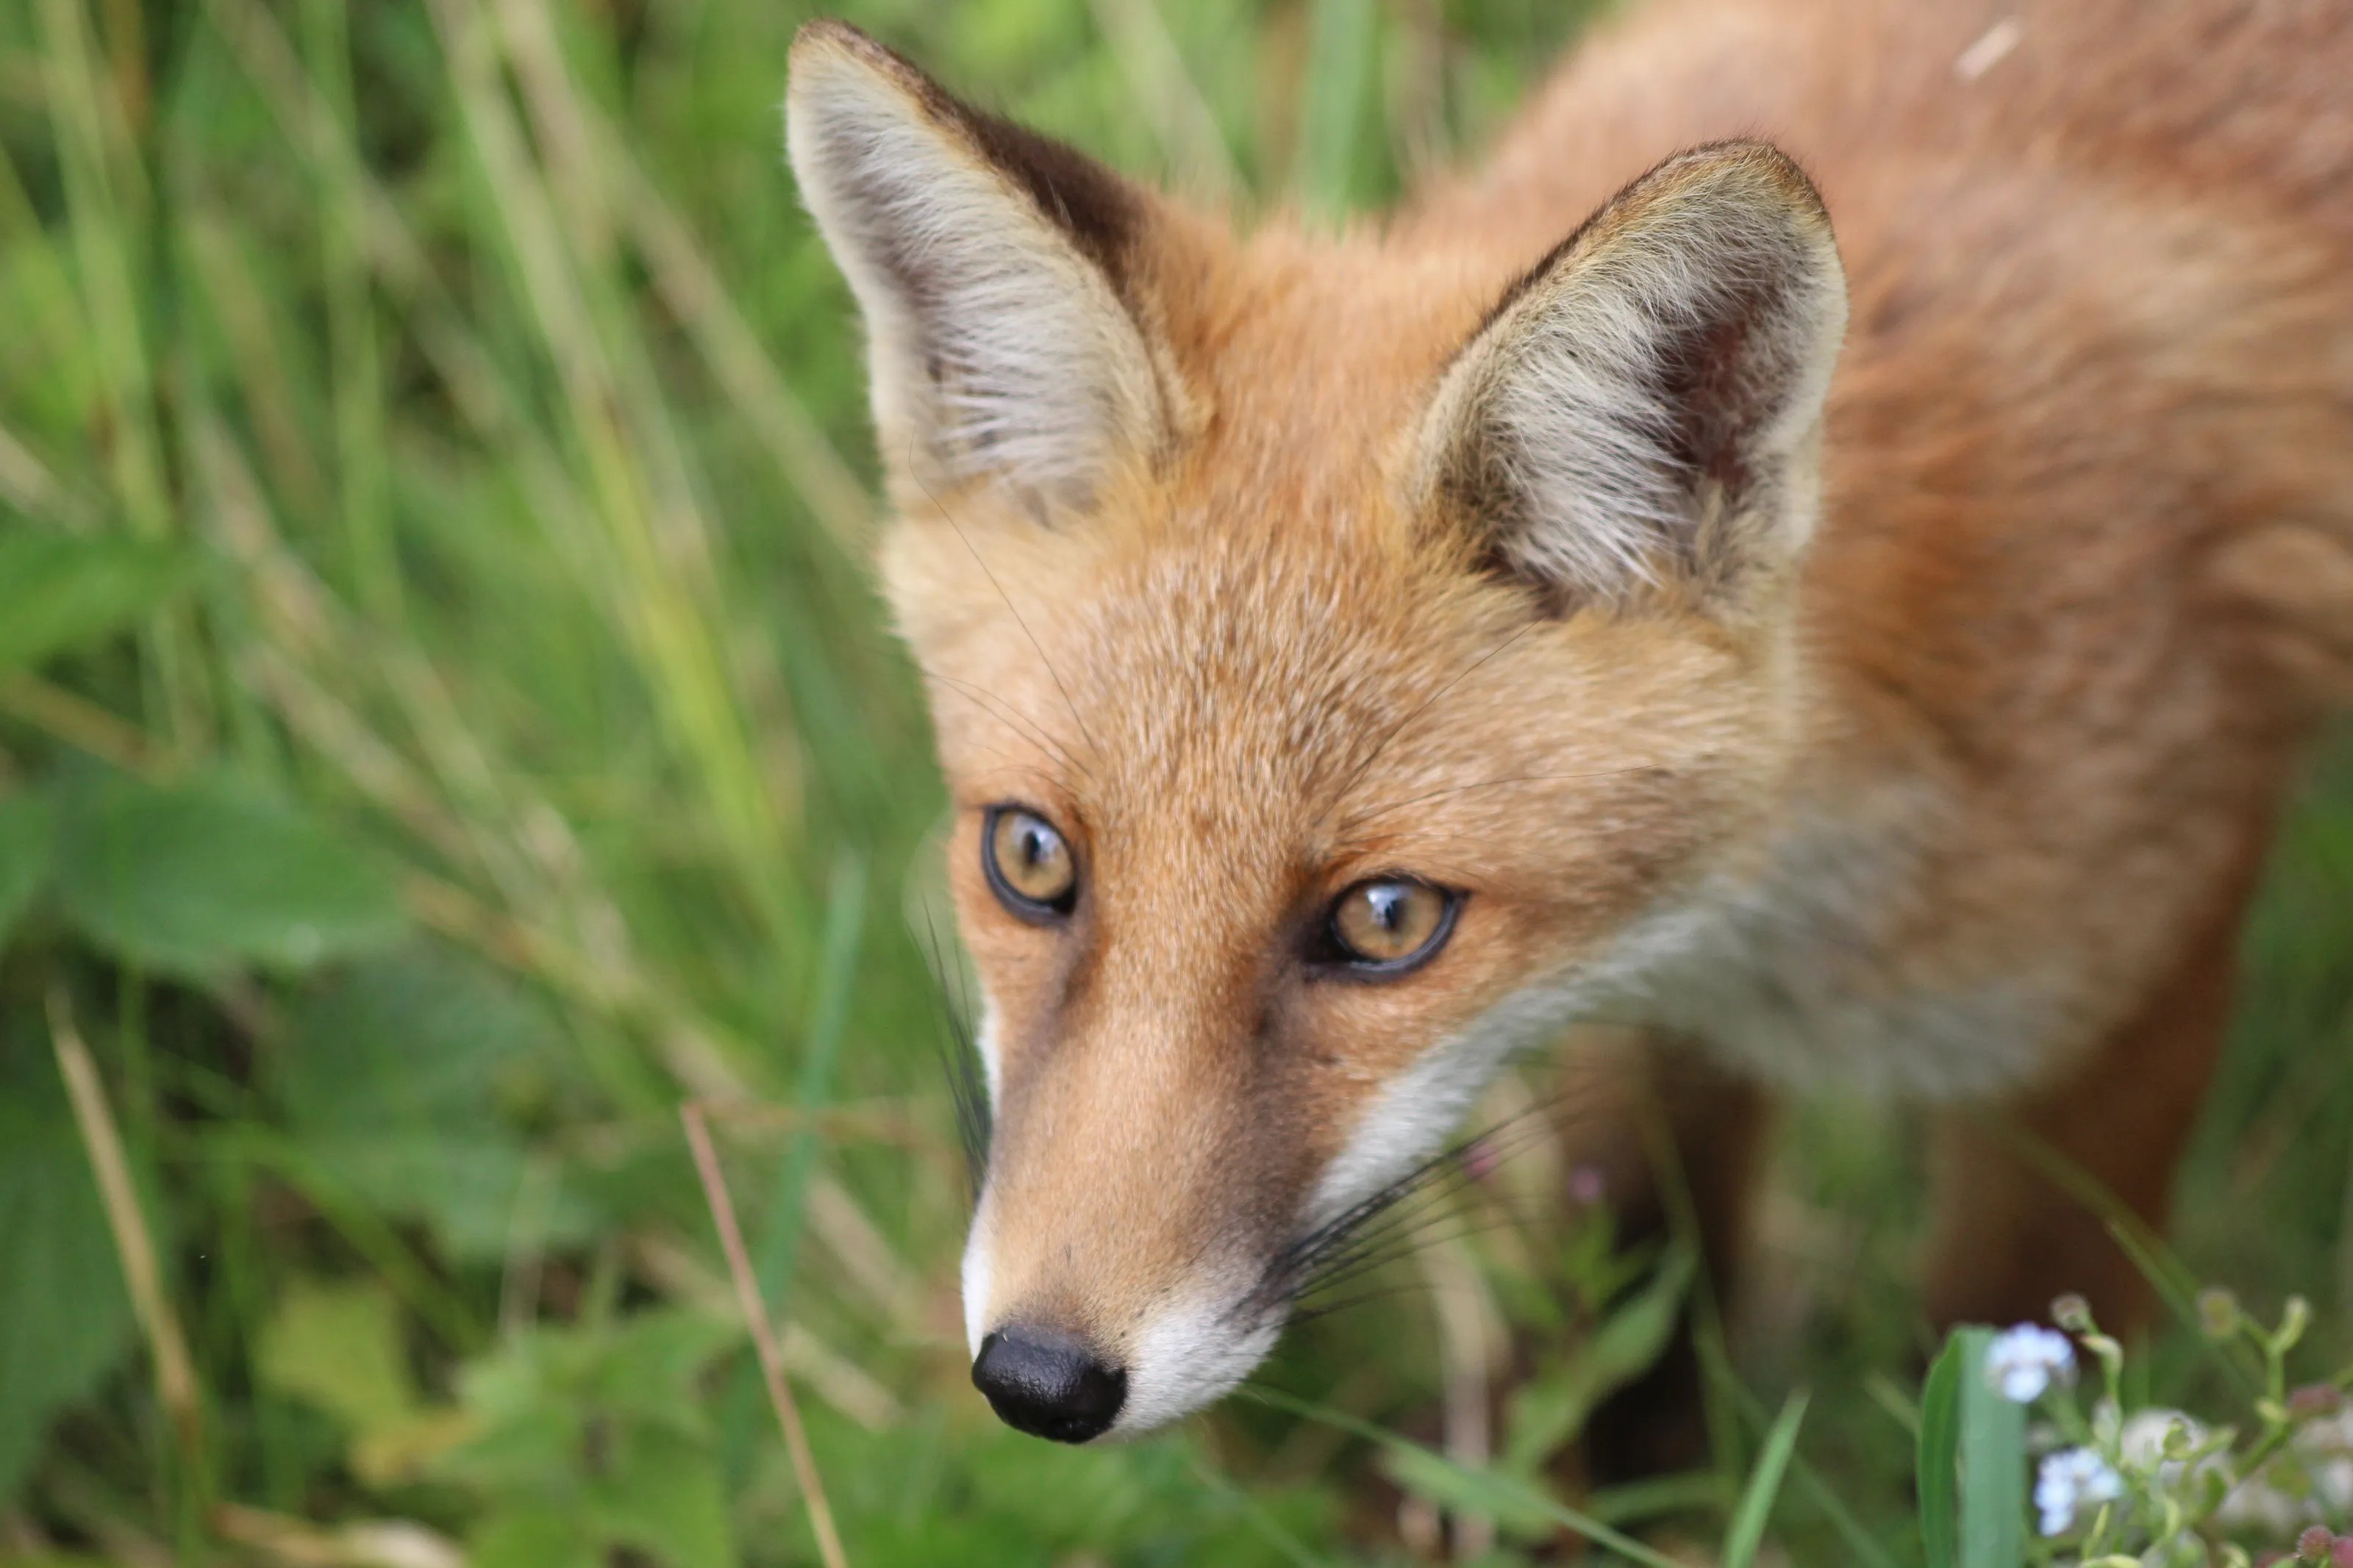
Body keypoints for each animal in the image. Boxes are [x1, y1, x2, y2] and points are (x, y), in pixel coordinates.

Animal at [782, 0, 2353, 1454]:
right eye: (1030, 859)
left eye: (1387, 920)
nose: (1040, 1378)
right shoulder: (1648, 1019)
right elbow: (1636, 1281)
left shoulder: (2125, 995)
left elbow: (2017, 1367)